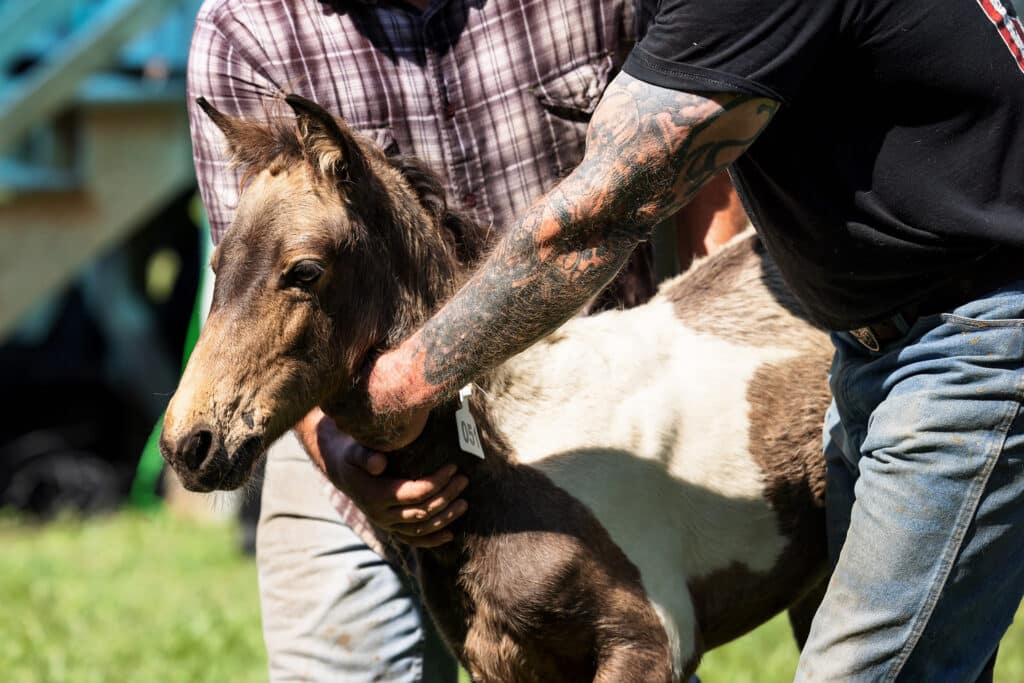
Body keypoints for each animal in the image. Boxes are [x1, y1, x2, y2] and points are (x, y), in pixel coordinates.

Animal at [159, 96, 831, 683]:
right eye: (217, 266)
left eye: (304, 270)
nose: (188, 444)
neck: (506, 454)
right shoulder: (502, 660)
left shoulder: (649, 641)